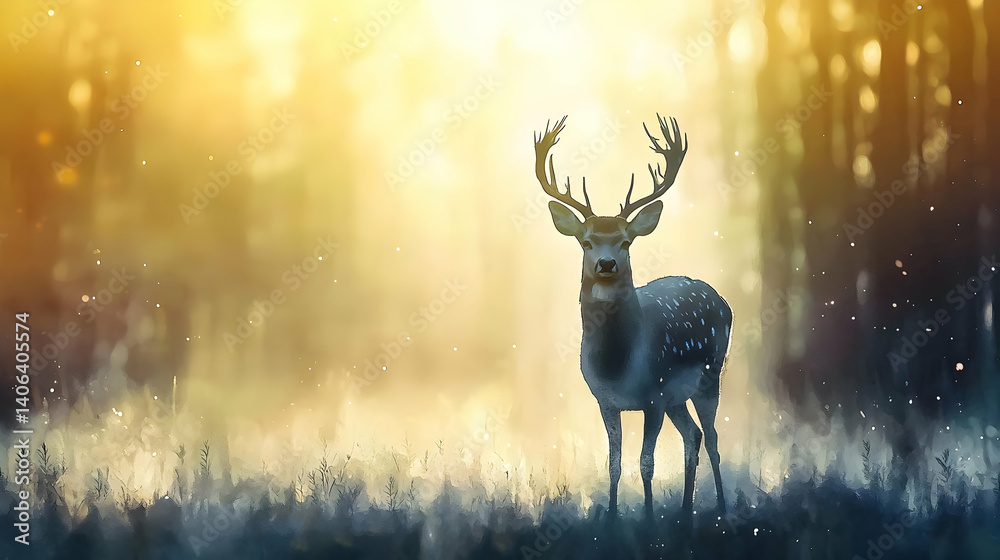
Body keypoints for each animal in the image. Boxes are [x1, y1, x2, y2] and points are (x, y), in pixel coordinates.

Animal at [534, 114, 731, 522]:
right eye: (586, 241)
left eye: (626, 241)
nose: (607, 264)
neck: (618, 365)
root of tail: (723, 301)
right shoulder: (605, 400)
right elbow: (615, 463)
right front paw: (611, 519)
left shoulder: (654, 395)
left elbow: (646, 463)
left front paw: (650, 520)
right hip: (678, 398)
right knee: (693, 436)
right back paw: (685, 515)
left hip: (710, 375)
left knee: (713, 439)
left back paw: (721, 509)